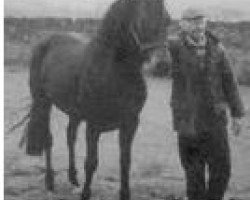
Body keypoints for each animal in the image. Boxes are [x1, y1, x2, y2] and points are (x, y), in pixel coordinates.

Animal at [23, 0, 170, 199]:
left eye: (168, 20)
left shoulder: (130, 123)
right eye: (141, 21)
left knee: (70, 136)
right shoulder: (93, 125)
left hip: (74, 113)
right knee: (48, 138)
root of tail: (46, 41)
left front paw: (125, 194)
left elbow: (125, 161)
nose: (162, 65)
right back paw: (50, 181)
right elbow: (91, 162)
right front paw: (85, 194)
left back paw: (73, 177)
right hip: (43, 102)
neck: (112, 72)